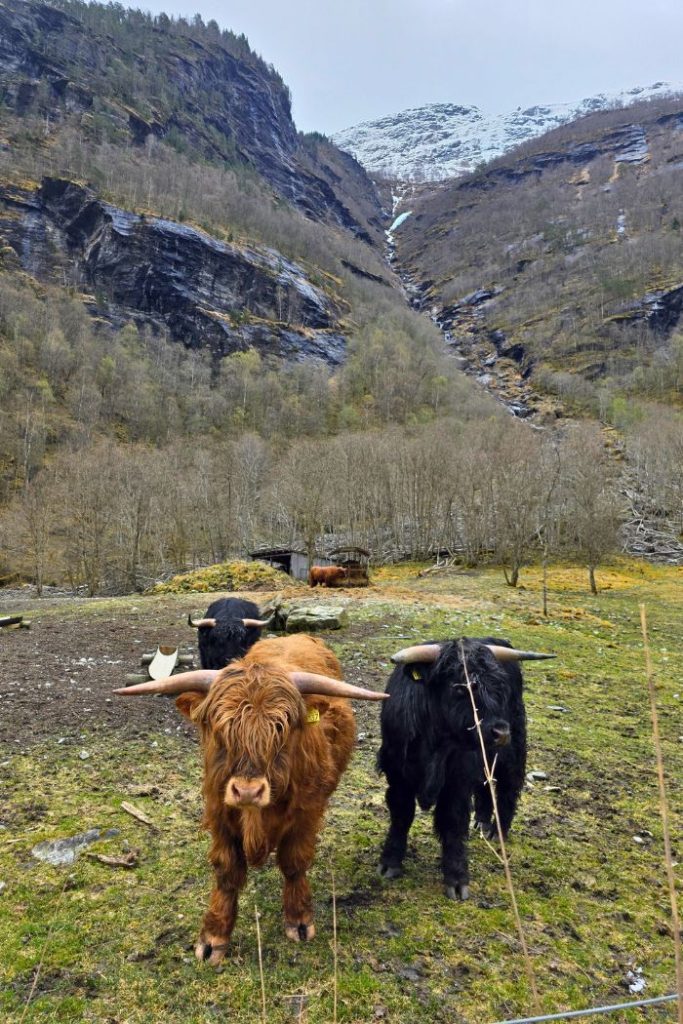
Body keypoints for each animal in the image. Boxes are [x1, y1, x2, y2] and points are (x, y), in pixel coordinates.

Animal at [115, 634, 387, 963]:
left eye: (282, 728)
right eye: (220, 728)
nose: (247, 791)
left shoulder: (308, 810)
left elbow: (295, 862)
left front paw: (298, 918)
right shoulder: (219, 810)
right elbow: (227, 871)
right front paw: (214, 936)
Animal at [377, 638, 554, 901]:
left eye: (499, 687)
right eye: (460, 688)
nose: (501, 732)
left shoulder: (457, 780)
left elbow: (453, 821)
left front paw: (457, 878)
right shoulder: (398, 776)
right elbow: (401, 815)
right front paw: (390, 863)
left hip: (513, 752)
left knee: (508, 789)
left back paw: (496, 831)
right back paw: (481, 822)